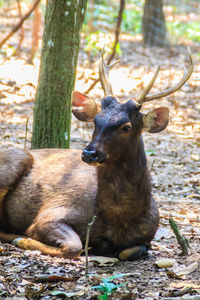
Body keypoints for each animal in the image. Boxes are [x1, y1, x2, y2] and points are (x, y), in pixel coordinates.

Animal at [0, 49, 194, 260]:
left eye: (126, 127)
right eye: (95, 121)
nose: (89, 153)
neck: (119, 220)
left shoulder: (147, 237)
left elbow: (130, 251)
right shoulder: (50, 215)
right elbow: (74, 246)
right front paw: (23, 240)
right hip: (16, 159)